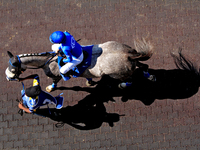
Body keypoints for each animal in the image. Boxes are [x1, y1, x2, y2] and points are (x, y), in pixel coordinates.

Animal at [4, 38, 155, 91]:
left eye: (13, 69)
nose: (7, 78)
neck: (48, 61)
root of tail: (126, 54)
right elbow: (85, 75)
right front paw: (89, 81)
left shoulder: (57, 75)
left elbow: (55, 82)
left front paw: (50, 88)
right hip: (132, 61)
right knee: (143, 66)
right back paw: (150, 76)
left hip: (118, 73)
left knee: (129, 79)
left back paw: (123, 85)